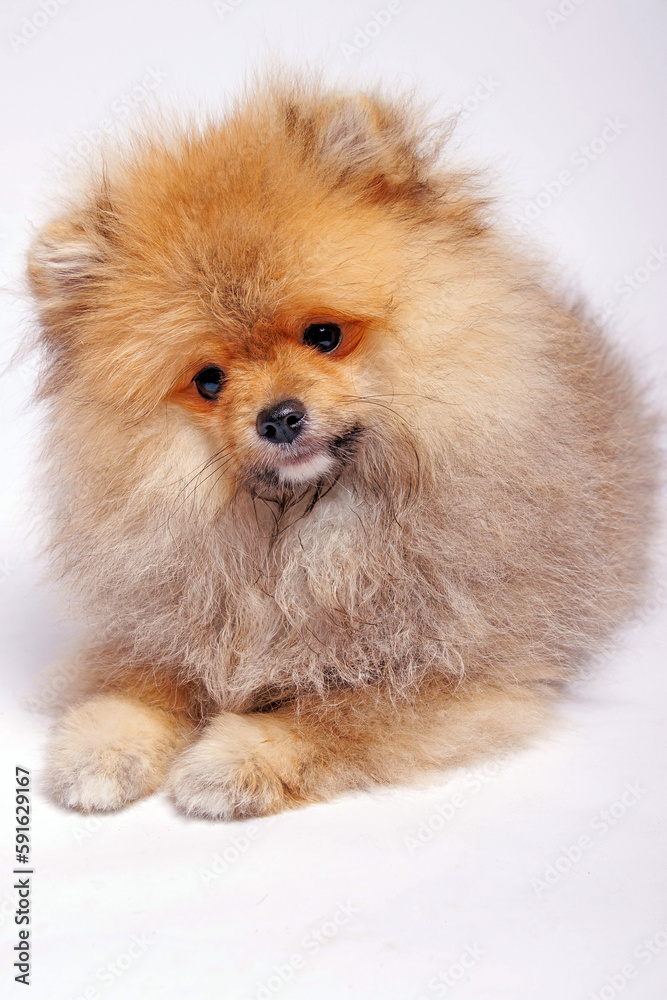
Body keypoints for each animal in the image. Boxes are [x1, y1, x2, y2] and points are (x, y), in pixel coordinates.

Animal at [27, 78, 656, 820]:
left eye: (323, 335)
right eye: (209, 381)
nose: (279, 417)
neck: (304, 535)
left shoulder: (457, 673)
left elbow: (334, 716)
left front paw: (235, 759)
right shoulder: (169, 624)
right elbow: (137, 683)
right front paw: (102, 747)